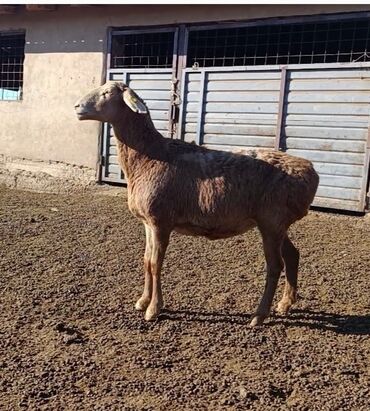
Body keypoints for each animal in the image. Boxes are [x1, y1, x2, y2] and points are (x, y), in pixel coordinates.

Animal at [73, 82, 320, 326]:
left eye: (107, 93)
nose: (76, 107)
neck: (148, 158)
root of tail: (310, 171)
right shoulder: (147, 222)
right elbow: (146, 260)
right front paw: (143, 301)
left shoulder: (161, 221)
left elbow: (156, 263)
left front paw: (153, 309)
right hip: (276, 224)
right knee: (292, 255)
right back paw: (285, 304)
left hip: (271, 221)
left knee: (275, 265)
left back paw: (259, 315)